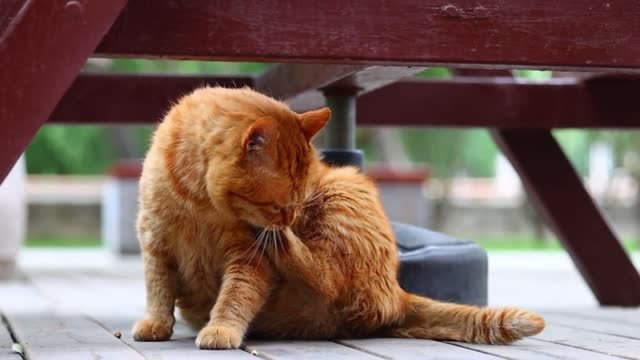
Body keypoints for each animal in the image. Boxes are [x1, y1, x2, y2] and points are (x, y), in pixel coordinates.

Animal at [131, 86, 544, 348]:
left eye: (298, 202)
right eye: (279, 205)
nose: (287, 221)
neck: (197, 203)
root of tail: (397, 293)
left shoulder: (247, 260)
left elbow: (235, 296)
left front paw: (221, 330)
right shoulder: (155, 244)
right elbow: (157, 290)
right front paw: (156, 324)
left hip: (343, 191)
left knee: (328, 277)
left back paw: (284, 243)